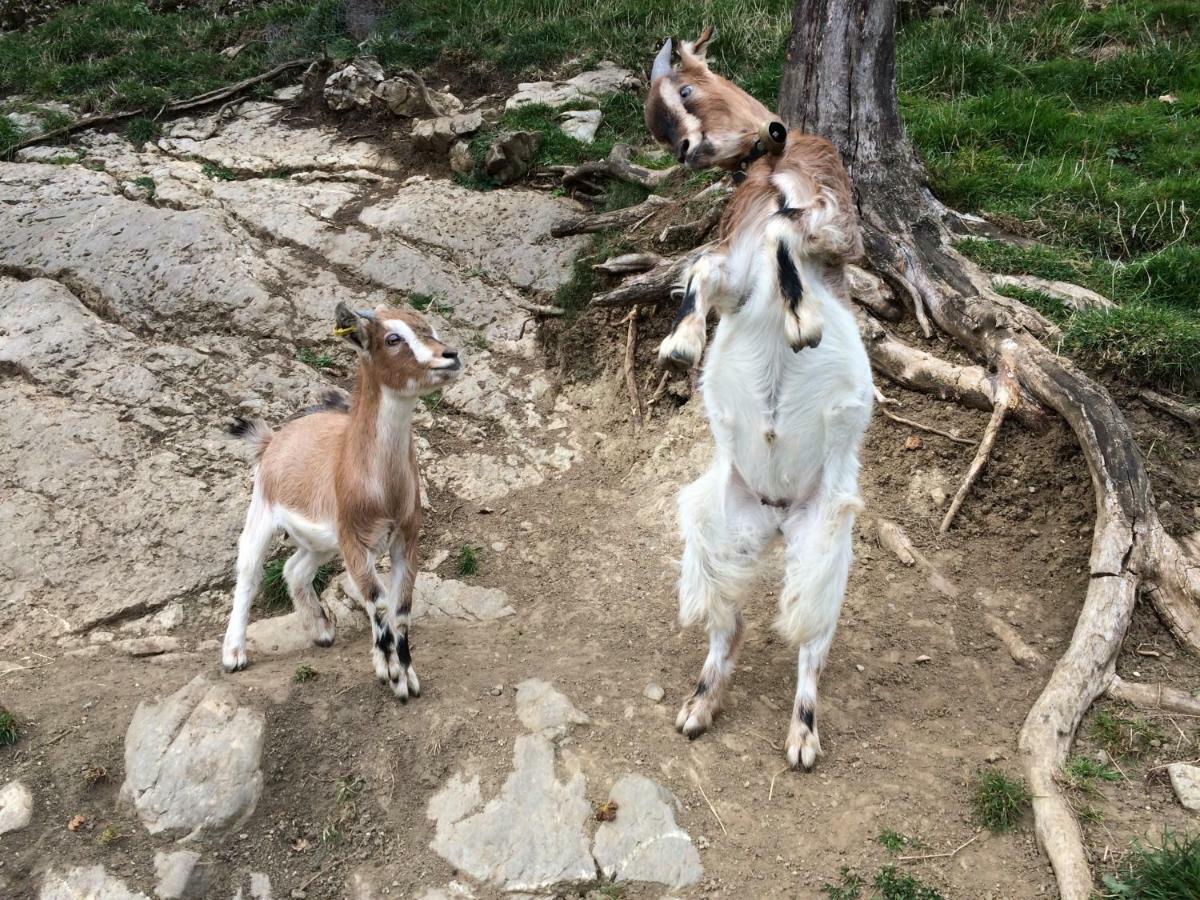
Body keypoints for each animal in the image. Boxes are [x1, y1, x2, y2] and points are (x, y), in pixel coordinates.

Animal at [218, 304, 460, 705]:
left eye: (431, 330)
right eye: (392, 338)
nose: (450, 356)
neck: (382, 487)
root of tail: (273, 441)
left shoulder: (405, 540)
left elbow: (402, 607)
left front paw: (406, 674)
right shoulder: (355, 542)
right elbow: (379, 602)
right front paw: (393, 676)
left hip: (322, 542)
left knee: (295, 569)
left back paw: (320, 630)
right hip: (263, 512)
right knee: (249, 572)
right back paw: (234, 654)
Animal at [648, 31, 873, 772]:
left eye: (687, 89)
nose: (687, 151)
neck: (776, 164)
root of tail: (775, 517)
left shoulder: (838, 229)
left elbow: (784, 238)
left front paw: (802, 324)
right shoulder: (732, 269)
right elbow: (699, 269)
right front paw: (682, 345)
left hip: (828, 541)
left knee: (809, 642)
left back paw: (802, 737)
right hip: (716, 527)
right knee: (732, 623)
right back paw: (698, 705)